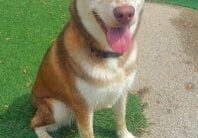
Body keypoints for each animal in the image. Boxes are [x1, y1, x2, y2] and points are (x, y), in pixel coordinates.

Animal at [31, 0, 144, 138]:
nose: (125, 13)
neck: (108, 54)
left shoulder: (122, 90)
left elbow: (121, 117)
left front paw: (124, 134)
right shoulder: (83, 105)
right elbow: (88, 133)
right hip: (58, 108)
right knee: (34, 123)